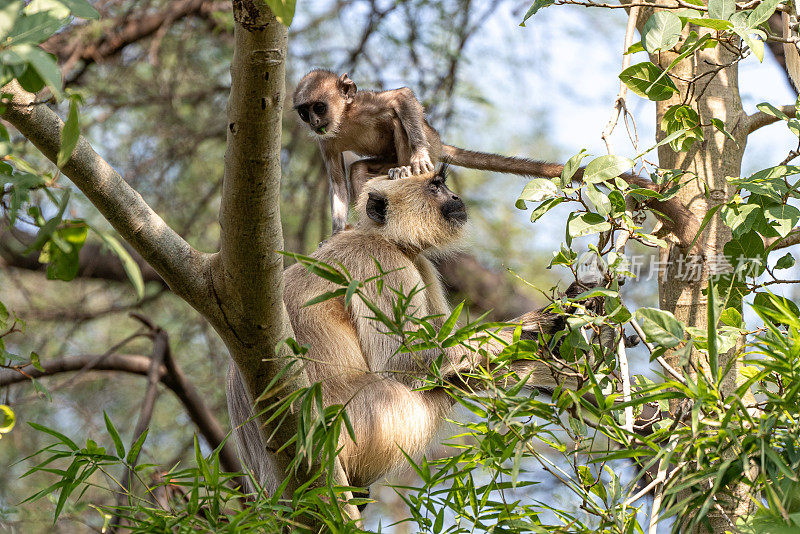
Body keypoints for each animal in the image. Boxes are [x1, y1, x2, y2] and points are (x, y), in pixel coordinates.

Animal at [228, 169, 592, 498]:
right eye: (436, 186)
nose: (456, 197)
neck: (381, 236)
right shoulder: (378, 262)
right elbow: (405, 364)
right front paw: (537, 325)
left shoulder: (419, 263)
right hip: (369, 422)